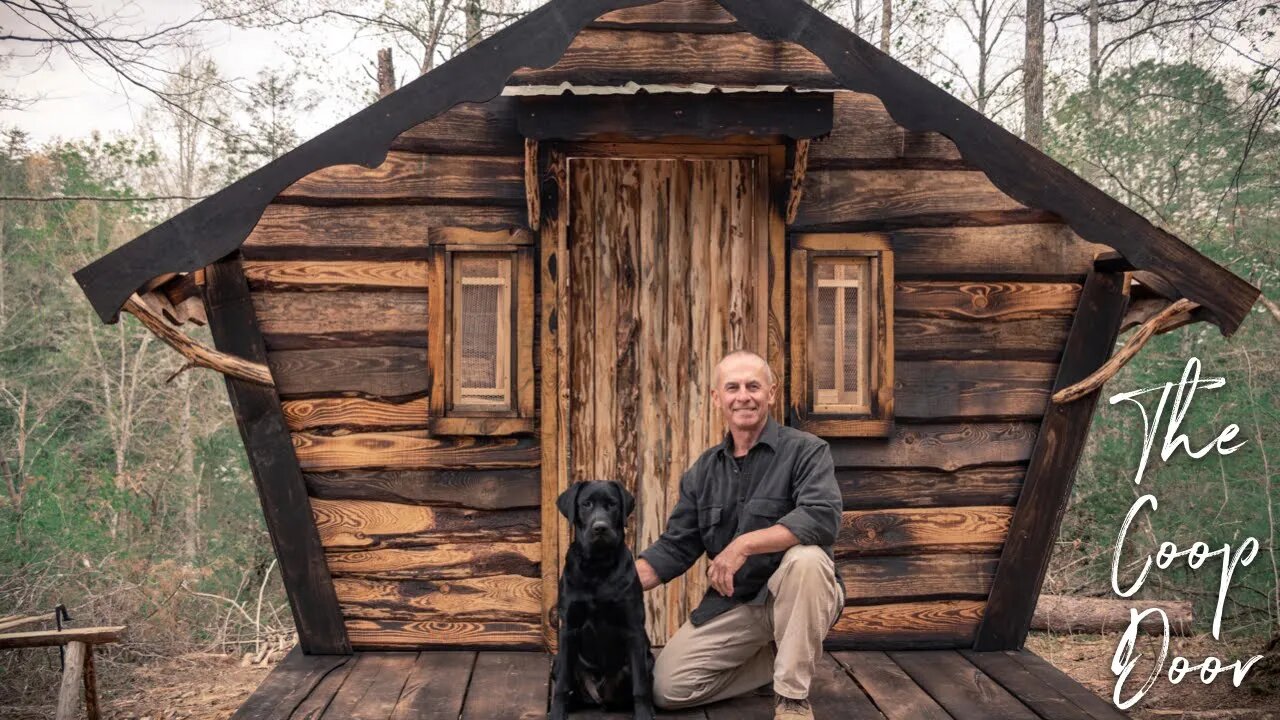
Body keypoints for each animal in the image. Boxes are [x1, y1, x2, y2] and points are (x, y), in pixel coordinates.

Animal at [547, 476, 655, 717]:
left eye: (612, 504)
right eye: (586, 504)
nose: (600, 528)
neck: (597, 566)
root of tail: (598, 697)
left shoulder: (634, 629)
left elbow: (640, 686)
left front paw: (644, 714)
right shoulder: (569, 628)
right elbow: (562, 684)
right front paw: (557, 713)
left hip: (648, 660)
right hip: (558, 661)